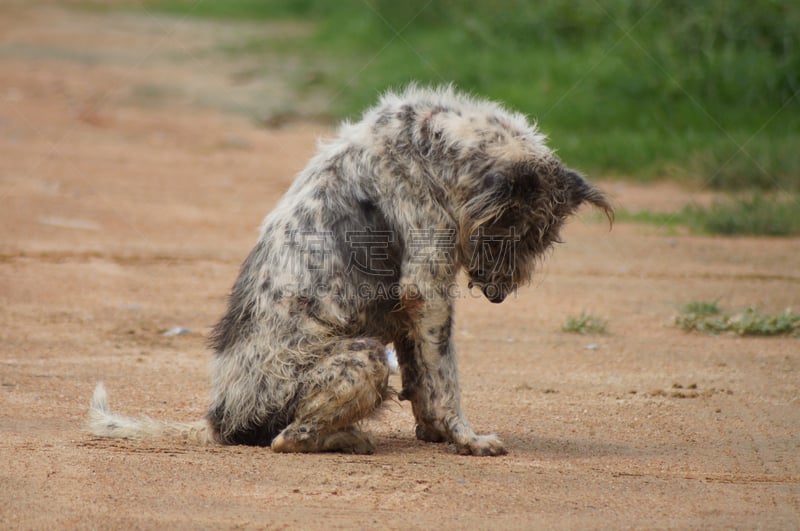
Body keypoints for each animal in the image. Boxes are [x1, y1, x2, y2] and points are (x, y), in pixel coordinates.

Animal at [89, 85, 612, 456]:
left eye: (541, 242)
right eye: (512, 234)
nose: (499, 294)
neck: (430, 148)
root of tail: (218, 421)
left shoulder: (408, 309)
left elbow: (423, 378)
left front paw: (435, 432)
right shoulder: (427, 290)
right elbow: (446, 381)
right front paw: (466, 438)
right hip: (362, 358)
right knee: (287, 439)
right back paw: (350, 439)